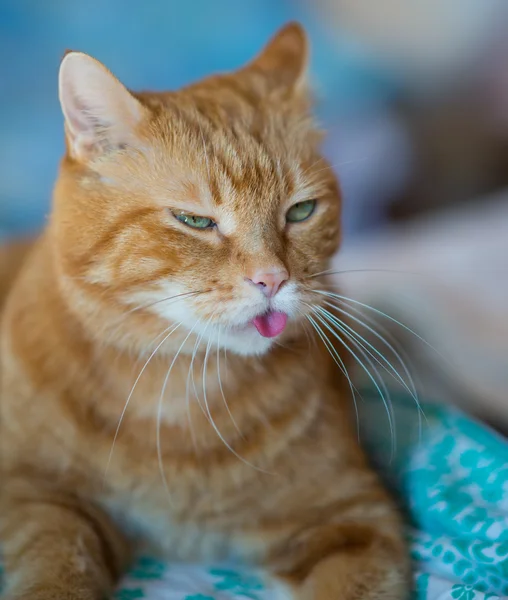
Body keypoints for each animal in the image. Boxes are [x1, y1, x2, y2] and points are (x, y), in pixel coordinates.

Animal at [0, 22, 406, 600]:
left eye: (301, 211)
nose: (272, 279)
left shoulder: (352, 516)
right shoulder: (37, 496)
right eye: (195, 221)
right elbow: (54, 568)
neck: (179, 396)